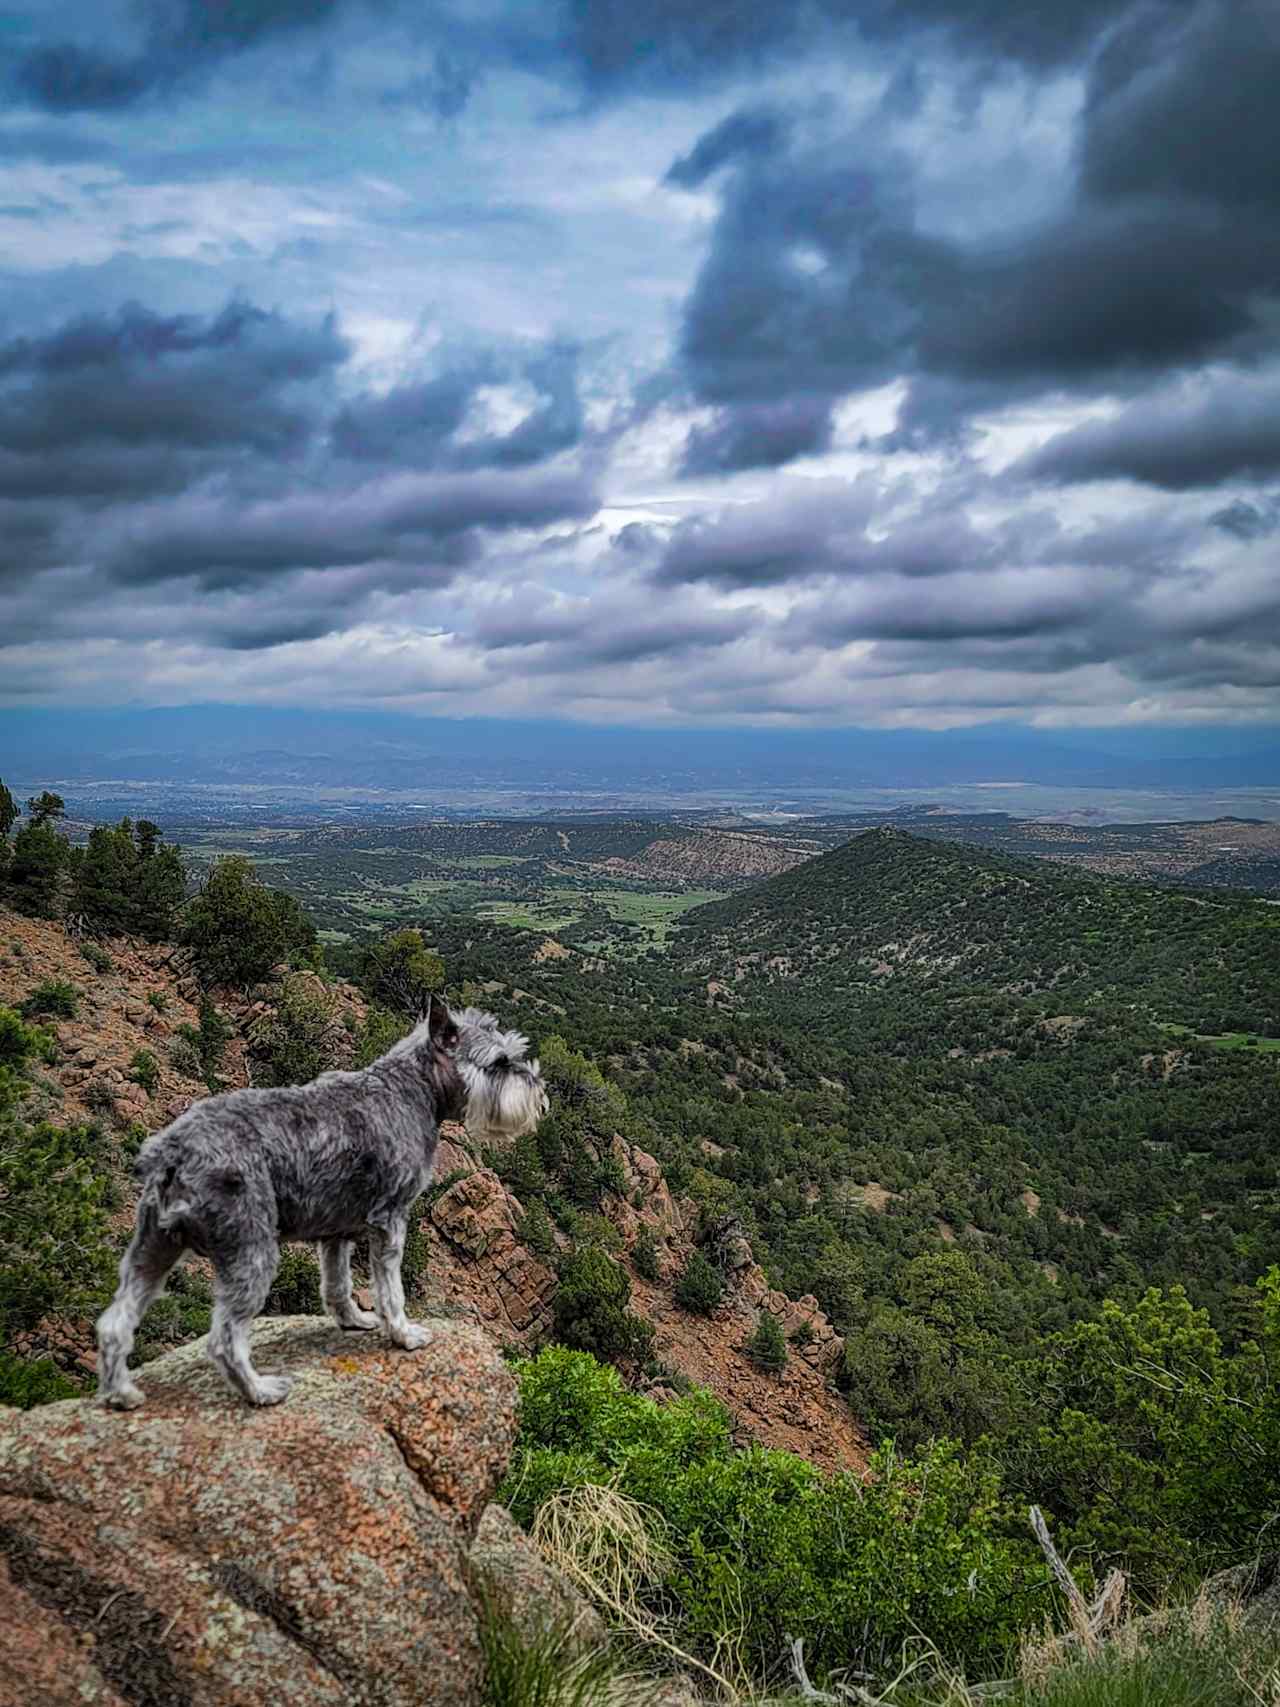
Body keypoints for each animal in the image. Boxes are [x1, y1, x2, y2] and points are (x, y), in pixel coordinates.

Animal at [95, 996, 546, 1413]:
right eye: (500, 1062)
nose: (539, 1091)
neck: (413, 1091)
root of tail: (172, 1150)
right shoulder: (390, 1219)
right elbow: (391, 1290)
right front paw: (403, 1335)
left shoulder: (336, 1232)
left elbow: (337, 1284)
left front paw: (353, 1321)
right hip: (250, 1251)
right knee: (223, 1339)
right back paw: (260, 1391)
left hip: (153, 1248)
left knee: (114, 1323)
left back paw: (122, 1394)